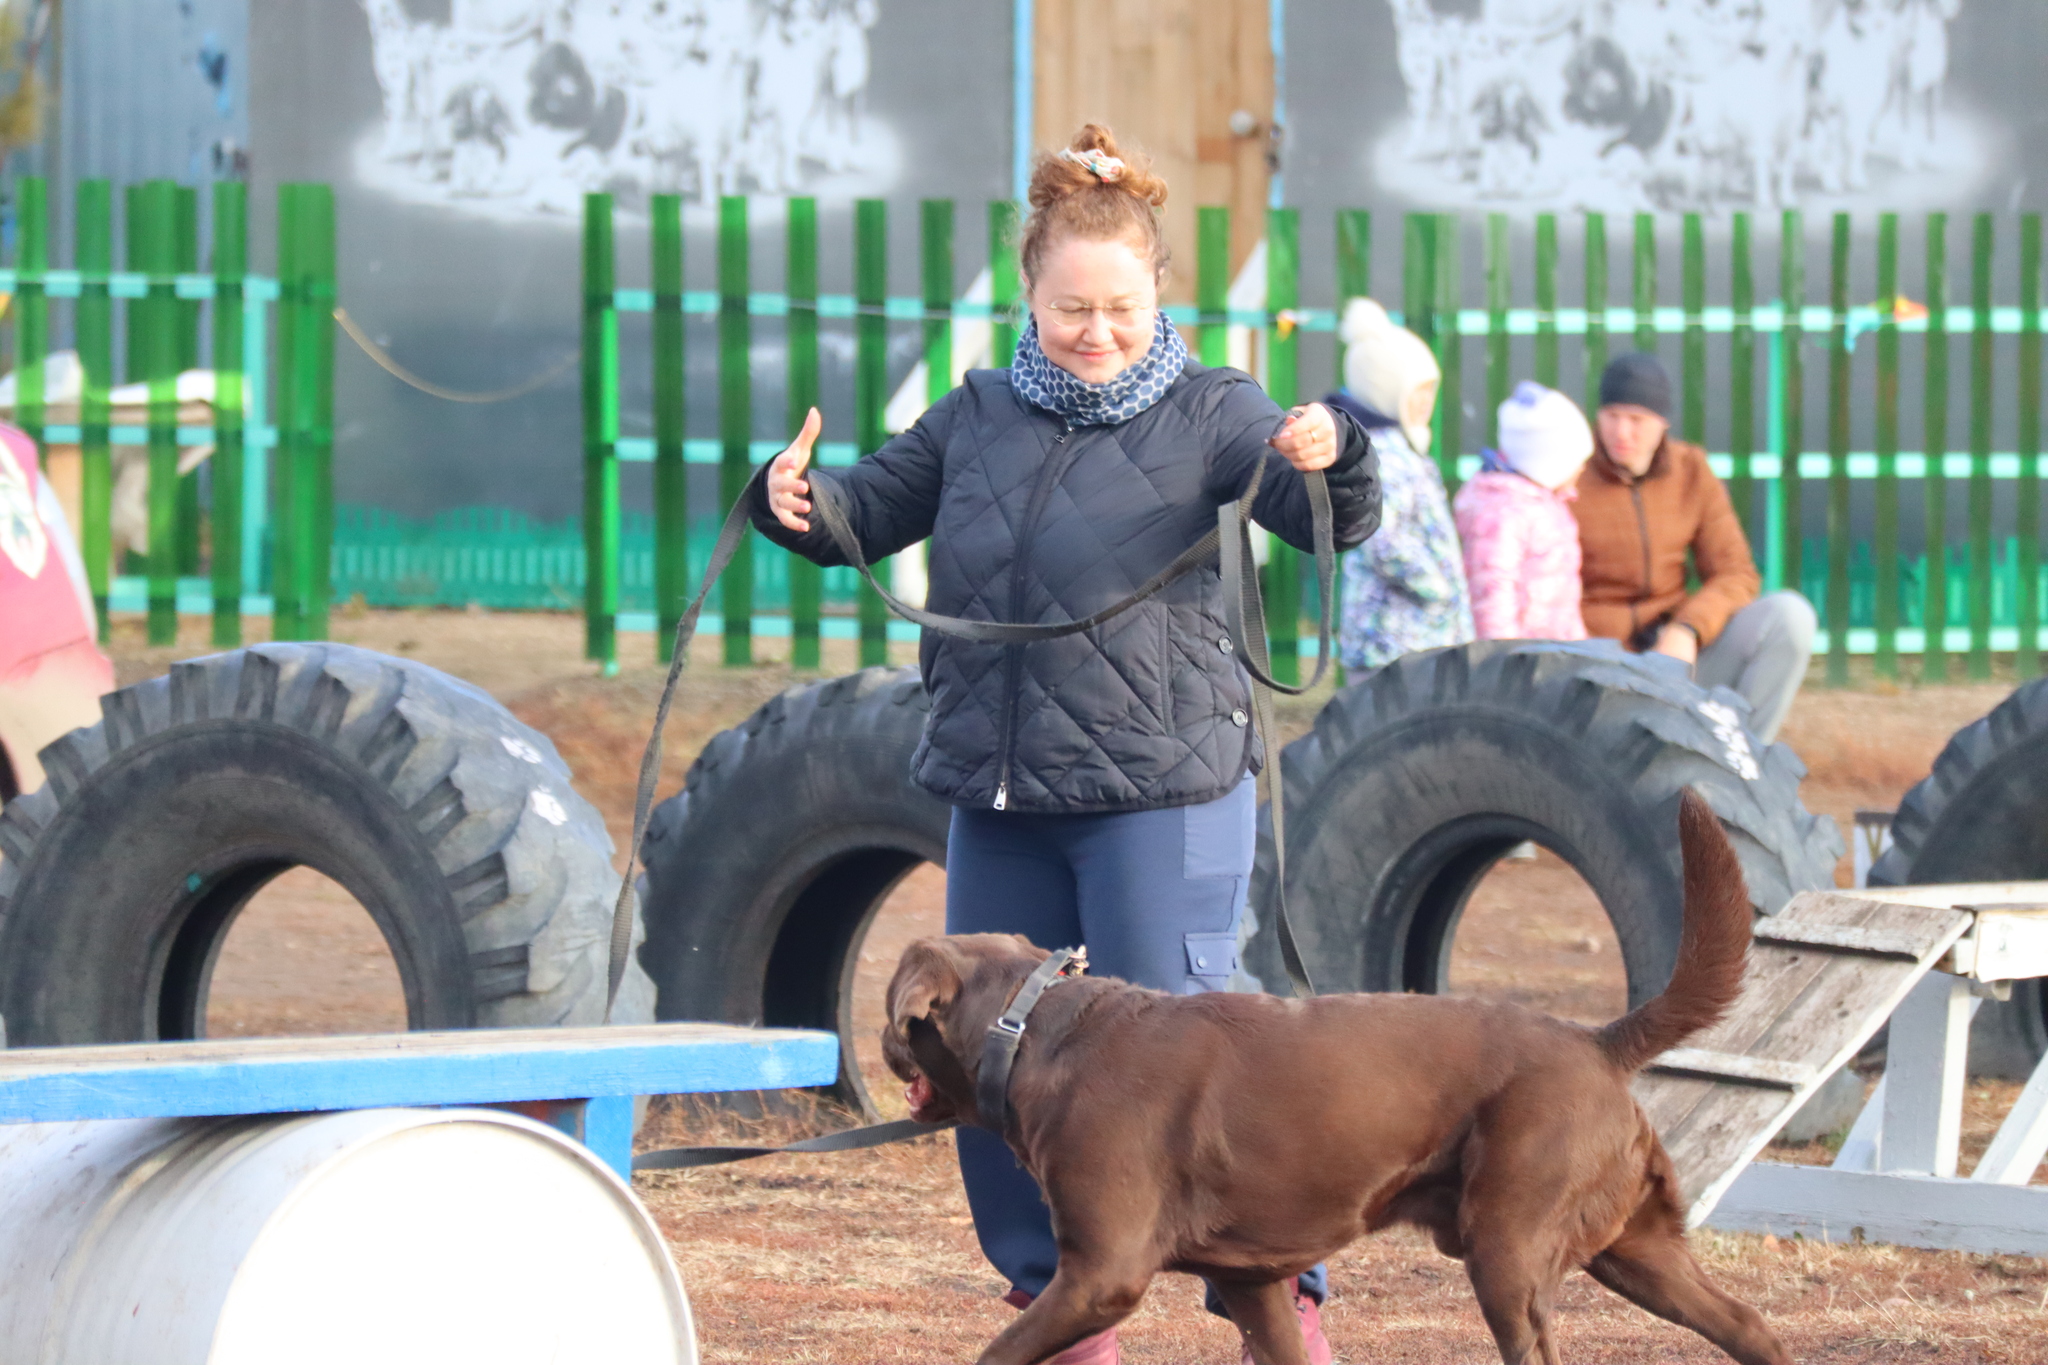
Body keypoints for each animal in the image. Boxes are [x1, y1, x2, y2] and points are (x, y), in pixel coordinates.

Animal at [884, 789, 1794, 1365]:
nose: (889, 1049)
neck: (1032, 1027)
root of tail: (1597, 1039)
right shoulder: (1251, 1279)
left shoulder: (1102, 1272)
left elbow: (1001, 1350)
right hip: (1636, 1244)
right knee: (1751, 1324)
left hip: (1510, 1245)